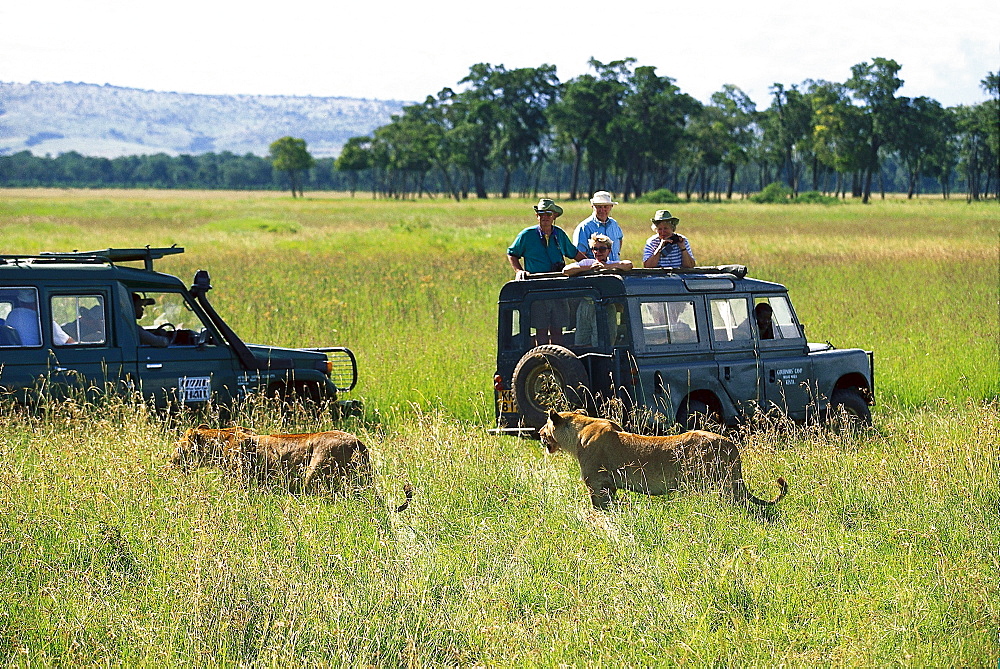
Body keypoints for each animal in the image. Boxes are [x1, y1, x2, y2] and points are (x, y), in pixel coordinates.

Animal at [540, 408, 780, 512]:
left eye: (545, 425)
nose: (540, 432)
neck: (577, 433)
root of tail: (731, 446)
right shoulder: (609, 485)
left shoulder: (596, 483)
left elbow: (599, 507)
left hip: (715, 482)